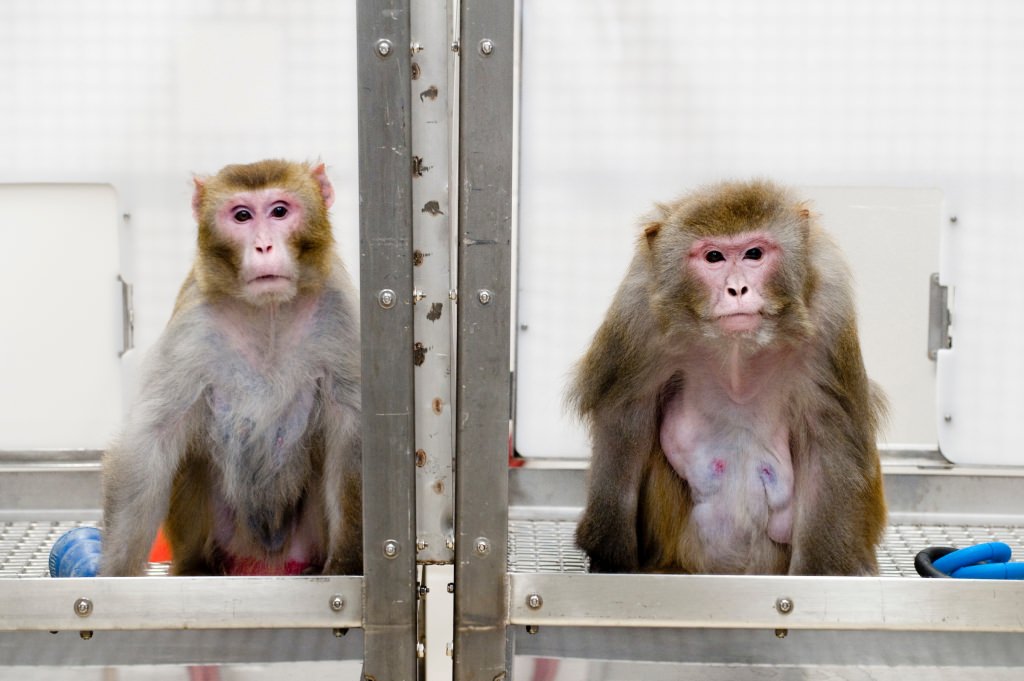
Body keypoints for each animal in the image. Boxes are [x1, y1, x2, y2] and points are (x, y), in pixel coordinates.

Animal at [99, 159, 362, 573]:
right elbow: (151, 439)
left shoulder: (339, 313)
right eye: (241, 216)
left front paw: (346, 565)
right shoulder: (193, 321)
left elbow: (350, 436)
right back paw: (197, 566)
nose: (263, 245)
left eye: (279, 211)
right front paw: (115, 572)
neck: (268, 313)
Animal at [573, 179, 884, 573]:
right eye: (714, 258)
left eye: (753, 253)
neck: (737, 350)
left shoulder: (830, 314)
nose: (737, 289)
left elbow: (829, 441)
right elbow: (624, 421)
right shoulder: (638, 316)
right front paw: (611, 559)